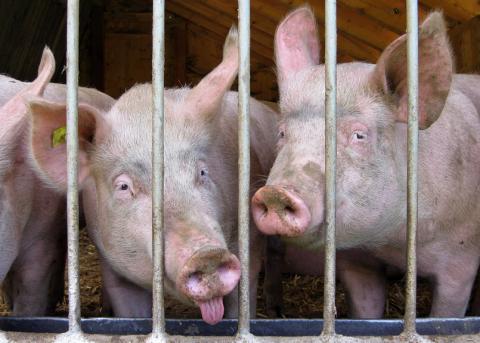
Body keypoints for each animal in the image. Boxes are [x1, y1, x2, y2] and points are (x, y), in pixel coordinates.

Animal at [253, 7, 480, 320]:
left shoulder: (461, 259)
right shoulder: (357, 263)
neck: (390, 243)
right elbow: (365, 312)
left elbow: (446, 316)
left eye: (359, 135)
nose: (275, 194)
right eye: (283, 133)